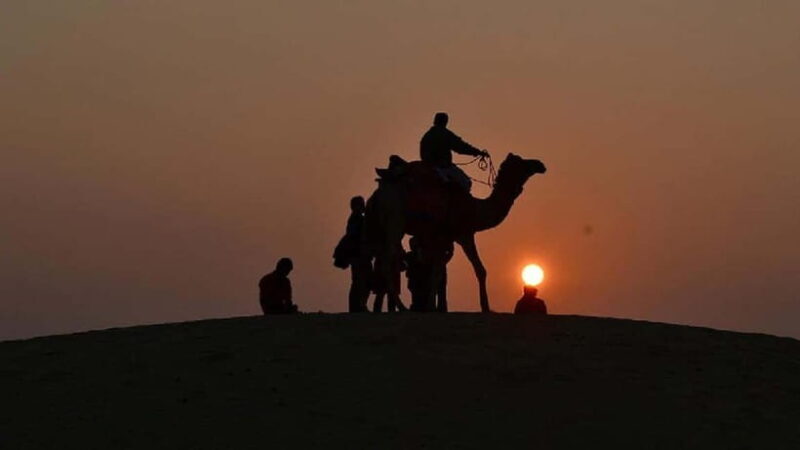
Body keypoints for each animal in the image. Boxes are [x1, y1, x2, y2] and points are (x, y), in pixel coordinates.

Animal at [364, 153, 546, 312]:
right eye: (522, 162)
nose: (540, 164)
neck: (475, 209)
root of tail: (381, 190)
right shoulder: (464, 234)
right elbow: (477, 270)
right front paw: (485, 308)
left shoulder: (440, 237)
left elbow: (438, 271)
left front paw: (434, 306)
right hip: (396, 222)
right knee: (388, 262)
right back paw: (402, 307)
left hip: (382, 226)